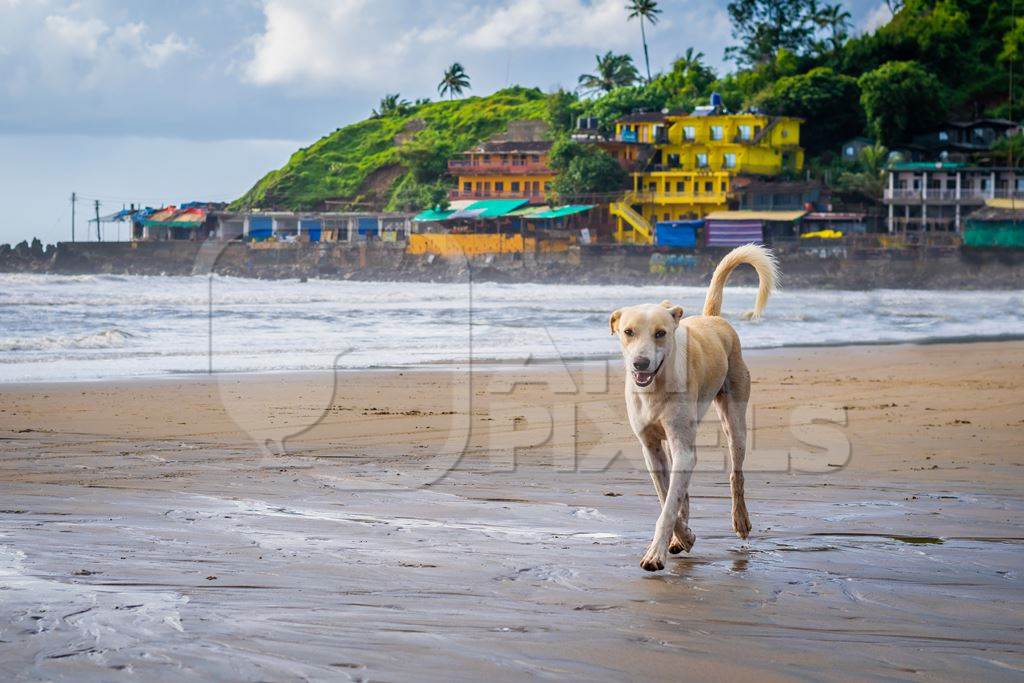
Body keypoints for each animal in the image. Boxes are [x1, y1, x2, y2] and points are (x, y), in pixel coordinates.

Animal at [606, 245, 774, 573]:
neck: (656, 387)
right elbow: (665, 497)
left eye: (660, 333)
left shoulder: (682, 446)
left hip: (734, 420)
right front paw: (681, 536)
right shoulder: (651, 448)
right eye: (628, 331)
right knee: (682, 488)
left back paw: (740, 520)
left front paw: (656, 553)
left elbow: (668, 507)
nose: (640, 364)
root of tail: (712, 318)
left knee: (736, 474)